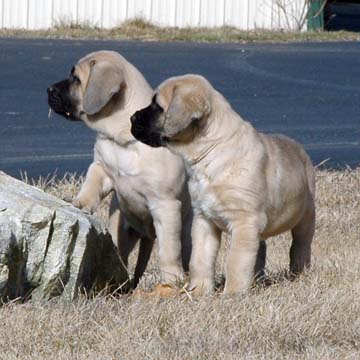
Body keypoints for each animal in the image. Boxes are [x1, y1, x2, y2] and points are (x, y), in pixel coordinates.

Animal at [48, 51, 193, 292]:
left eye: (76, 79)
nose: (49, 89)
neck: (122, 139)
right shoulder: (101, 168)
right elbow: (90, 186)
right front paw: (79, 203)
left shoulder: (166, 205)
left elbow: (169, 250)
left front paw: (171, 280)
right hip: (123, 229)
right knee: (120, 255)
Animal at [131, 74, 316, 296]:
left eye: (157, 106)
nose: (132, 118)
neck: (211, 151)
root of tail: (300, 150)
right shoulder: (204, 220)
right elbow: (200, 260)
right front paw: (199, 291)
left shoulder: (244, 220)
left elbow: (236, 261)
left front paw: (233, 293)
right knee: (260, 250)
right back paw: (256, 280)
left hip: (305, 216)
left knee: (300, 245)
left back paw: (300, 273)